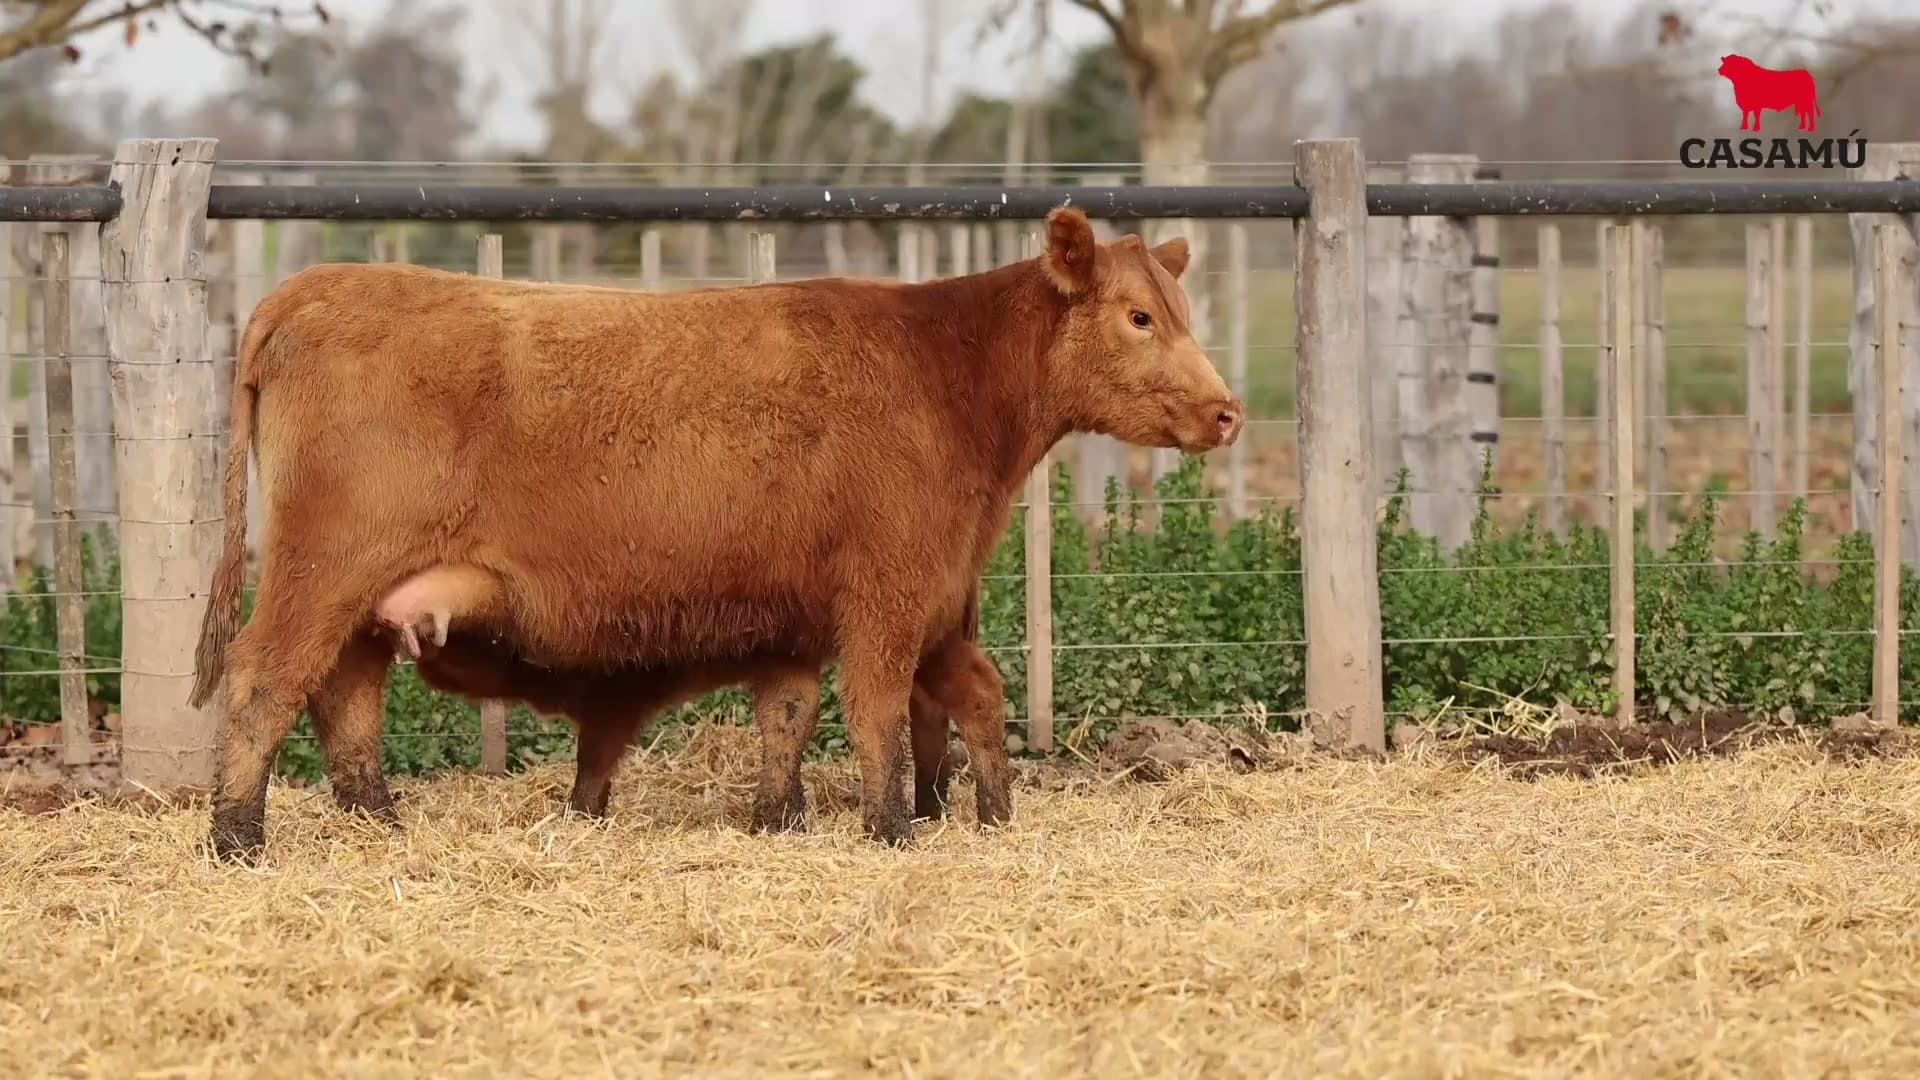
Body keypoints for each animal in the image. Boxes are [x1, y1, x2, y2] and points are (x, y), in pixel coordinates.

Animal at [190, 206, 1242, 862]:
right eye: (1139, 316)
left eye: (1179, 312)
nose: (1228, 412)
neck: (949, 376)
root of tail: (306, 291)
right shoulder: (888, 595)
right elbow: (875, 713)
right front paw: (891, 829)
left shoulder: (803, 615)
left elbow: (791, 714)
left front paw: (782, 820)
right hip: (325, 566)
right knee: (265, 677)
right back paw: (237, 838)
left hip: (368, 594)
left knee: (345, 694)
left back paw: (378, 821)